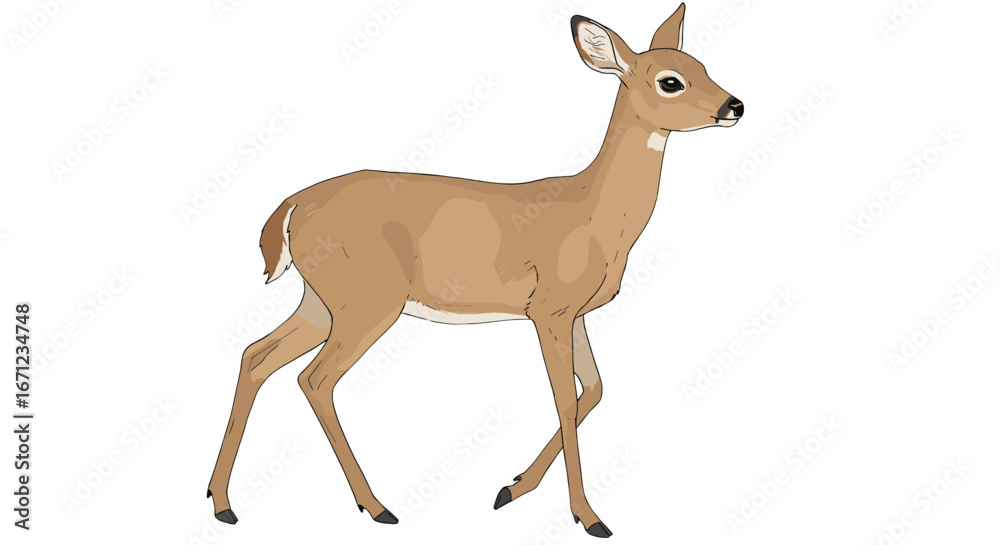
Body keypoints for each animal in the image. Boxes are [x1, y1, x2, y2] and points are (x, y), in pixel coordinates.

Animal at [207, 4, 742, 538]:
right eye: (670, 81)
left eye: (703, 66)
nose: (734, 106)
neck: (595, 216)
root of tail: (293, 205)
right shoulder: (548, 309)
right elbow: (565, 399)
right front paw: (588, 517)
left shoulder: (576, 314)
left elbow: (593, 390)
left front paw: (512, 488)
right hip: (368, 302)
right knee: (315, 379)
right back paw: (377, 506)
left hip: (322, 300)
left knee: (257, 356)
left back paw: (223, 503)